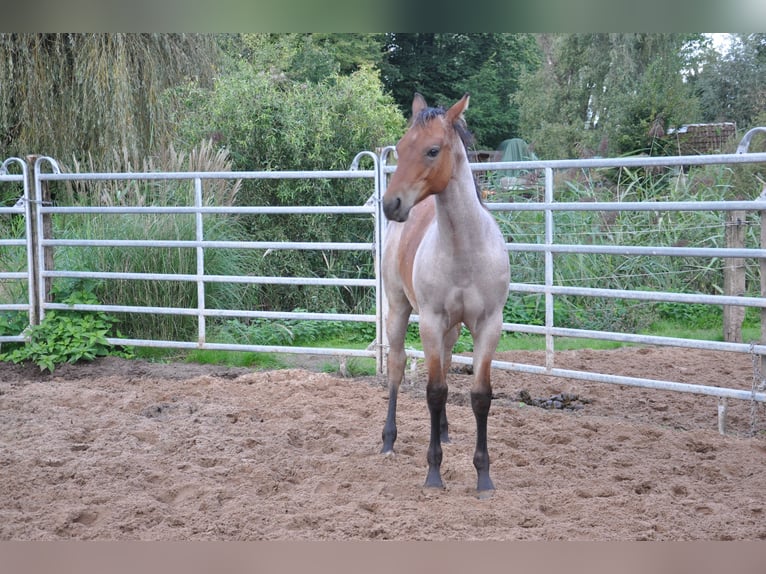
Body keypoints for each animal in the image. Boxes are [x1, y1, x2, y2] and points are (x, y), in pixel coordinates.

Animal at [382, 92, 512, 498]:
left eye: (432, 150)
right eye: (401, 147)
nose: (391, 204)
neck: (464, 250)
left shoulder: (489, 324)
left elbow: (480, 395)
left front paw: (484, 477)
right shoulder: (430, 321)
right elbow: (435, 391)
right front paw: (434, 473)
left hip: (454, 329)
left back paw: (444, 432)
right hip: (398, 310)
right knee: (395, 366)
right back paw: (388, 440)